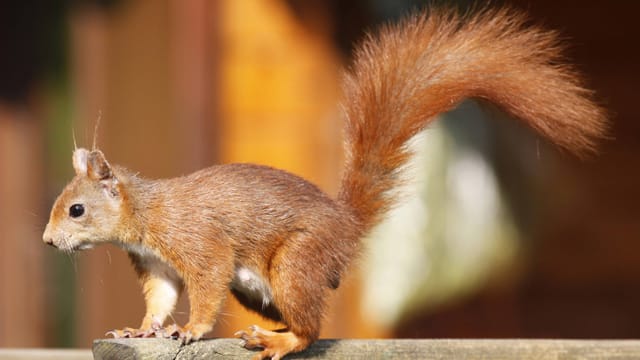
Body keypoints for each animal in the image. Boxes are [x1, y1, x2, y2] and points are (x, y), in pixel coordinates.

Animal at [43, 5, 604, 360]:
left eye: (76, 210)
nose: (48, 242)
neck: (146, 214)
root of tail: (347, 225)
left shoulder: (198, 243)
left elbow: (205, 287)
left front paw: (193, 330)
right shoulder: (156, 266)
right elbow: (159, 300)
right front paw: (142, 329)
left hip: (296, 262)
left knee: (312, 331)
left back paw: (280, 342)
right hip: (264, 289)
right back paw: (275, 332)